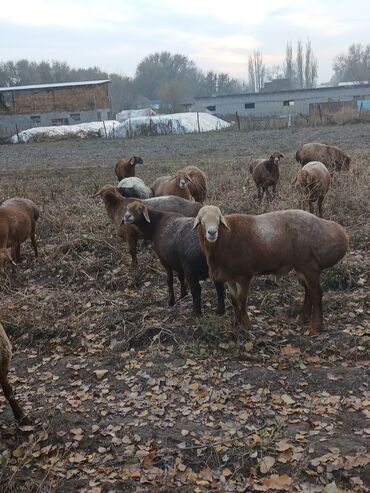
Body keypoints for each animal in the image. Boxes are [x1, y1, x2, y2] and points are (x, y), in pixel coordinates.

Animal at [194, 204, 350, 334]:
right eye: (202, 220)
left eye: (218, 219)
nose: (212, 232)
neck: (225, 239)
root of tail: (338, 231)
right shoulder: (229, 277)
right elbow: (233, 300)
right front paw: (236, 324)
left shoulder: (244, 275)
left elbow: (242, 300)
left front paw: (246, 326)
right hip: (300, 267)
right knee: (308, 290)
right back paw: (302, 318)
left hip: (310, 265)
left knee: (316, 293)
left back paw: (315, 327)